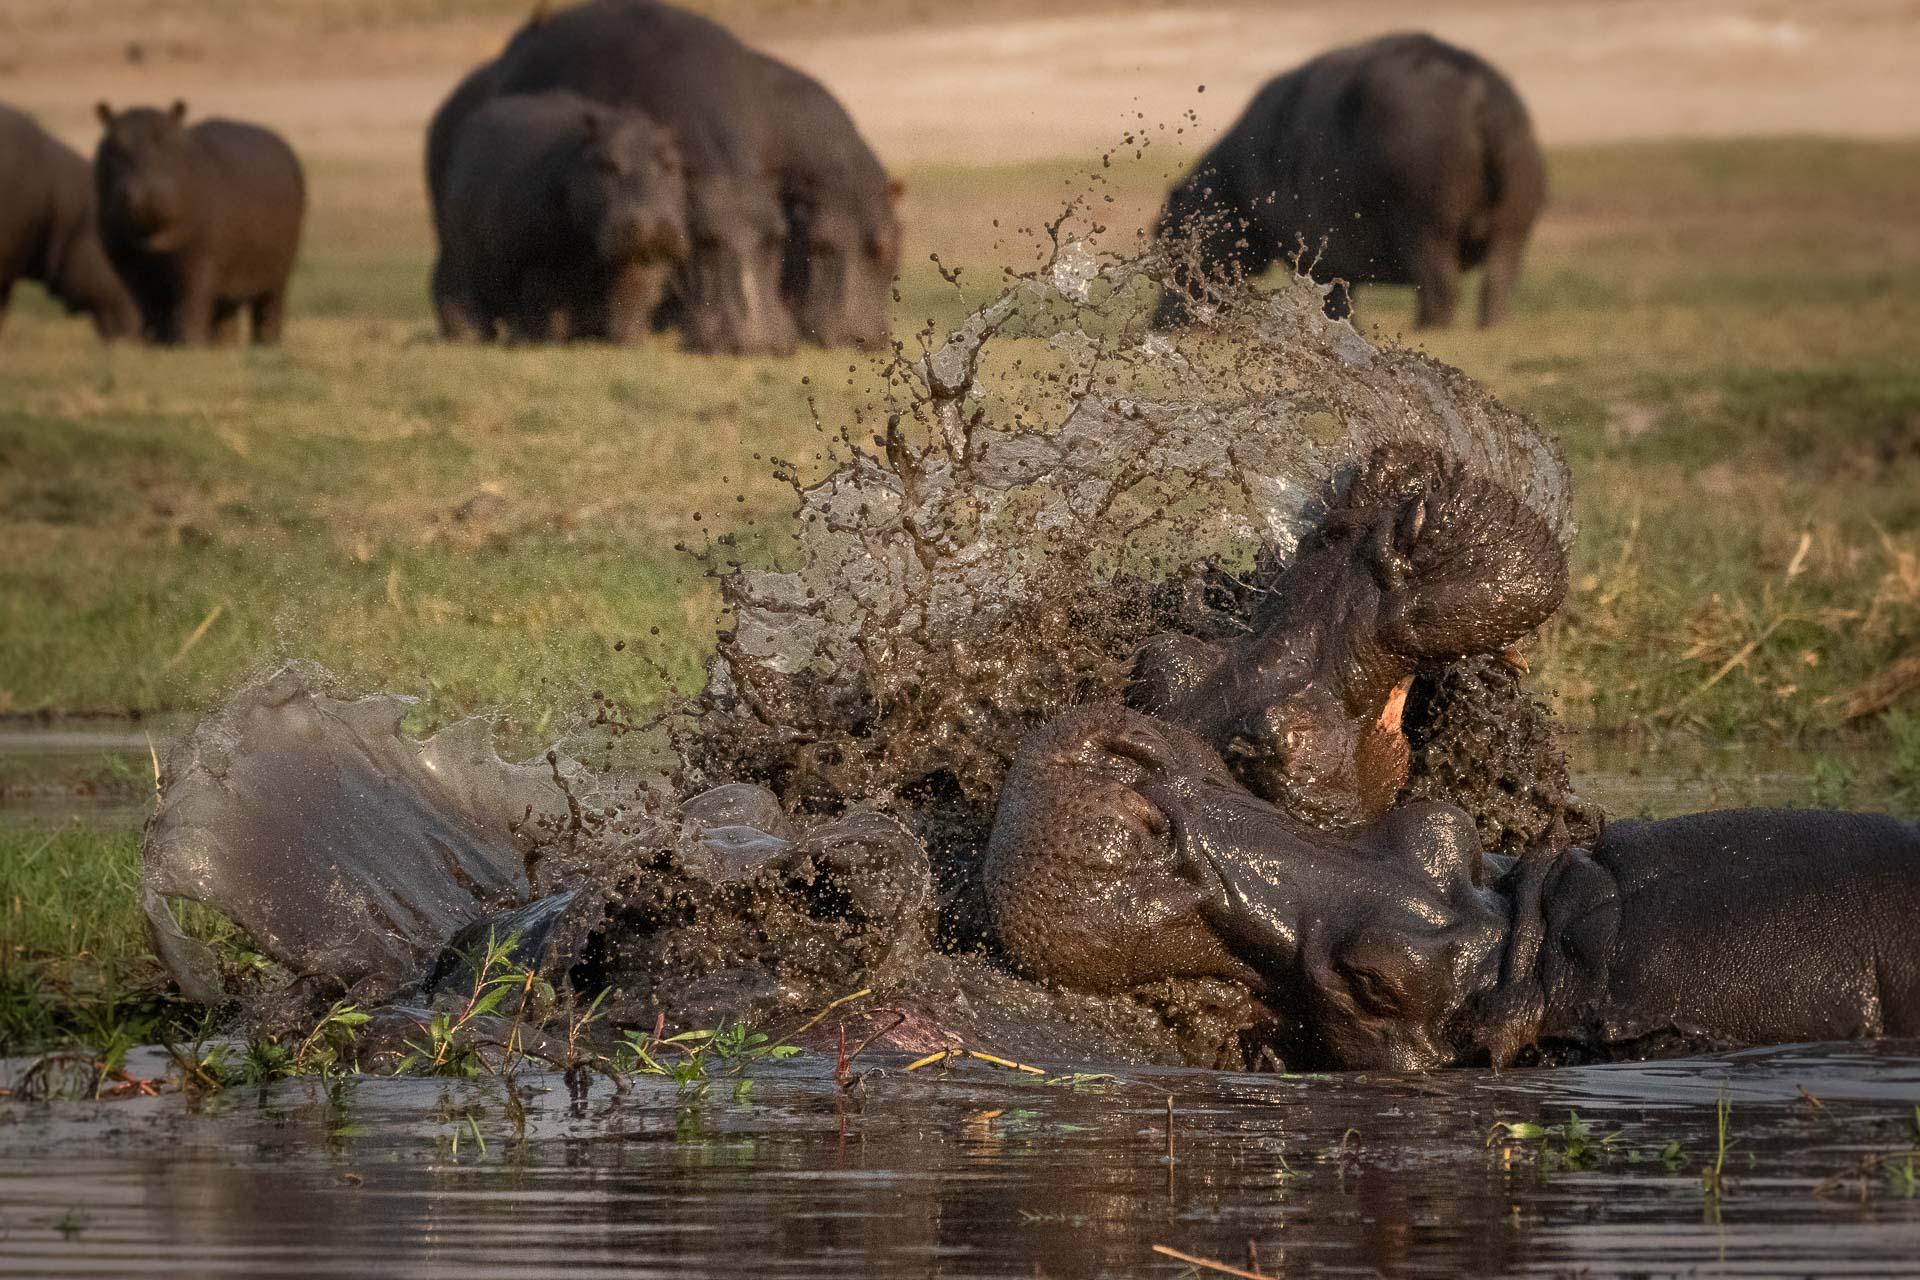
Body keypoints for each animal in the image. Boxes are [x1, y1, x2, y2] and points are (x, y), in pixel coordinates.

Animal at [93, 102, 303, 345]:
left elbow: (192, 299)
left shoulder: (201, 259)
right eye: (115, 145)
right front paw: (154, 342)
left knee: (268, 308)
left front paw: (190, 344)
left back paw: (266, 343)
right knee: (224, 316)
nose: (146, 191)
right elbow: (147, 306)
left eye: (167, 142)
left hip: (277, 276)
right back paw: (222, 345)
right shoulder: (128, 266)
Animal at [432, 92, 687, 343]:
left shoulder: (644, 259)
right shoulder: (538, 261)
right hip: (457, 265)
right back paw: (474, 336)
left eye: (671, 163)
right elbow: (546, 304)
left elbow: (633, 297)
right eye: (606, 163)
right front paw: (546, 339)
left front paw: (632, 340)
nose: (655, 222)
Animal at [1152, 34, 1543, 328]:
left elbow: (1333, 299)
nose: (1156, 321)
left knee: (1440, 288)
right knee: (1498, 283)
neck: (1227, 188)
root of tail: (1480, 91)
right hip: (1512, 222)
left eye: (1165, 233)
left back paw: (1427, 330)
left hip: (1428, 227)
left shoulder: (1321, 254)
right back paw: (1489, 326)